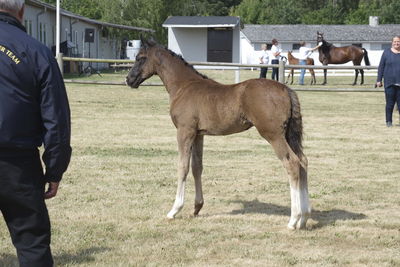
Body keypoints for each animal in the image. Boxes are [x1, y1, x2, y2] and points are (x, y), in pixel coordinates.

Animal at [126, 39, 310, 230]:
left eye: (140, 58)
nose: (129, 80)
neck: (184, 86)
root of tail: (286, 89)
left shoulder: (184, 131)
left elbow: (182, 167)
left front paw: (174, 210)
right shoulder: (198, 134)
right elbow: (197, 167)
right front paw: (197, 207)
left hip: (273, 135)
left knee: (292, 163)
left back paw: (293, 220)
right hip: (288, 134)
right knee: (303, 162)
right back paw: (304, 218)